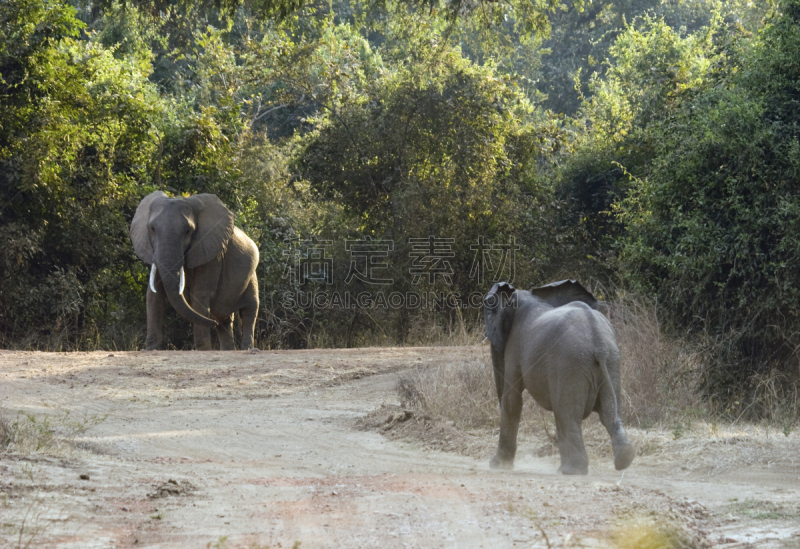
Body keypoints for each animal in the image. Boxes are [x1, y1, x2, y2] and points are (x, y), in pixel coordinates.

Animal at [130, 191, 258, 348]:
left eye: (188, 231)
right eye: (152, 229)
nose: (212, 323)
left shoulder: (212, 255)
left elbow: (200, 295)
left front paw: (204, 349)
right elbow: (154, 294)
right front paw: (151, 349)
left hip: (252, 276)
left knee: (249, 310)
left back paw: (246, 347)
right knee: (225, 321)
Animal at [484, 280, 636, 474]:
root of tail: (599, 342)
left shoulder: (515, 348)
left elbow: (512, 400)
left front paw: (497, 466)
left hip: (570, 365)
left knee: (567, 414)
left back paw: (571, 471)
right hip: (610, 363)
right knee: (609, 413)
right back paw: (624, 458)